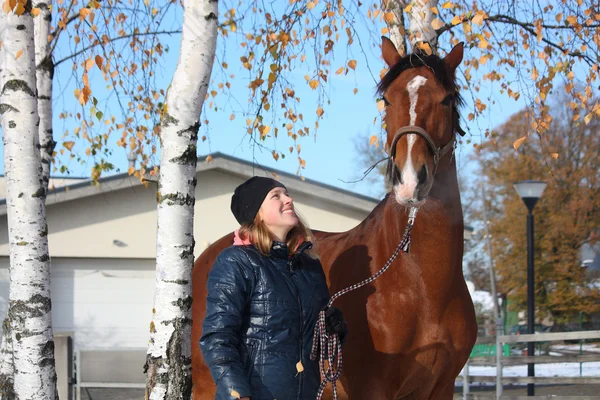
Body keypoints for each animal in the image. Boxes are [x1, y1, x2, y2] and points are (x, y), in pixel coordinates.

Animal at [192, 36, 478, 396]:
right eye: (386, 99)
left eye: (447, 99)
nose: (411, 180)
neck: (420, 288)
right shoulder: (373, 391)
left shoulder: (441, 388)